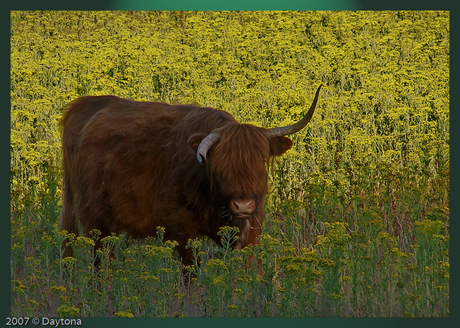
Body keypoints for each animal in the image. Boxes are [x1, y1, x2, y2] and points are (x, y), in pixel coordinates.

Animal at [59, 84, 322, 270]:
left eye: (259, 164)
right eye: (221, 168)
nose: (243, 205)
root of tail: (86, 104)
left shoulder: (251, 229)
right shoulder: (183, 233)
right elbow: (191, 274)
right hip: (95, 219)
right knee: (101, 260)